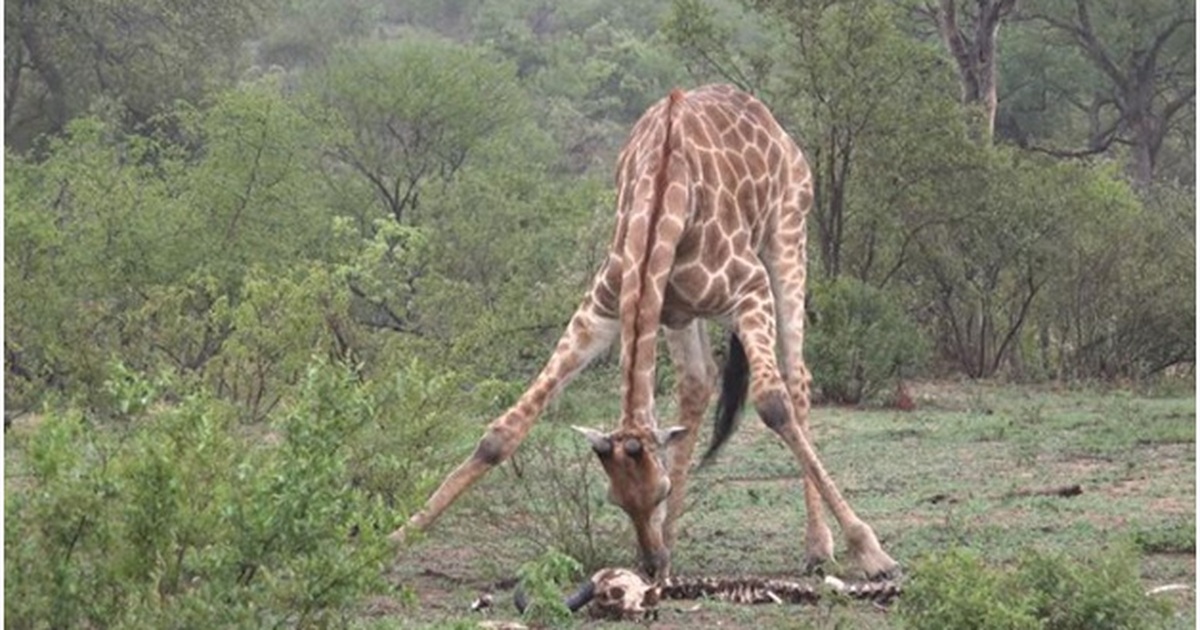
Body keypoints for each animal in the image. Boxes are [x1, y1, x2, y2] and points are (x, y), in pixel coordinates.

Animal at [388, 83, 897, 580]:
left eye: (661, 491)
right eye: (615, 499)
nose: (649, 565)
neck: (660, 199)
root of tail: (768, 118)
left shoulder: (749, 290)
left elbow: (773, 405)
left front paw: (870, 550)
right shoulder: (603, 310)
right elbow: (503, 432)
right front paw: (397, 536)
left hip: (787, 238)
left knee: (795, 377)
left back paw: (817, 546)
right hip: (679, 314)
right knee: (698, 382)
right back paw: (679, 542)